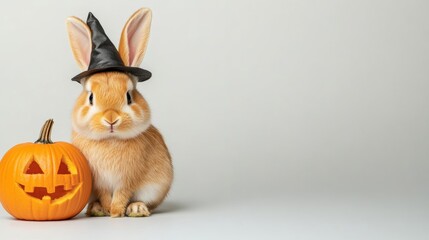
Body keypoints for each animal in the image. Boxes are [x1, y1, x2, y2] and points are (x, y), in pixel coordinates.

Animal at [65, 7, 172, 218]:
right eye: (91, 97)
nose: (111, 119)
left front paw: (116, 212)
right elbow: (105, 194)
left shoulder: (128, 179)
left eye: (129, 97)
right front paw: (108, 210)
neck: (110, 140)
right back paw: (96, 209)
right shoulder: (100, 183)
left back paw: (137, 209)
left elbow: (122, 194)